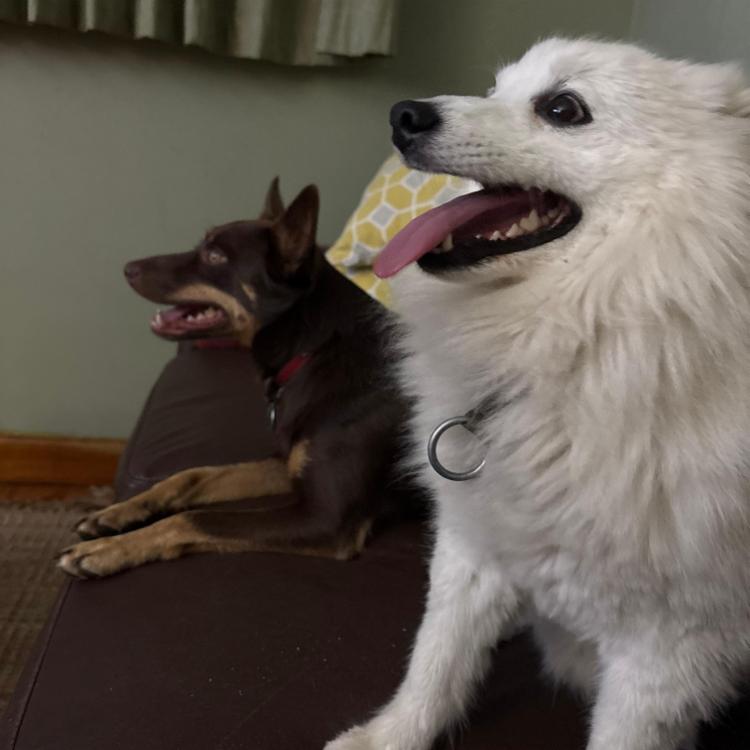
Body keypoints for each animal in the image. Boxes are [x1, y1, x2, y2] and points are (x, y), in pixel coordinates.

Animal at [58, 180, 419, 578]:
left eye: (215, 256)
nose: (127, 268)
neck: (315, 347)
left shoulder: (326, 519)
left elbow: (192, 518)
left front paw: (107, 549)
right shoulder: (285, 464)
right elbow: (191, 475)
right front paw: (116, 512)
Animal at [326, 38, 750, 750]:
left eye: (562, 108)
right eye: (495, 90)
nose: (403, 115)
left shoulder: (670, 650)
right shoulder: (473, 548)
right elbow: (435, 664)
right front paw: (387, 737)